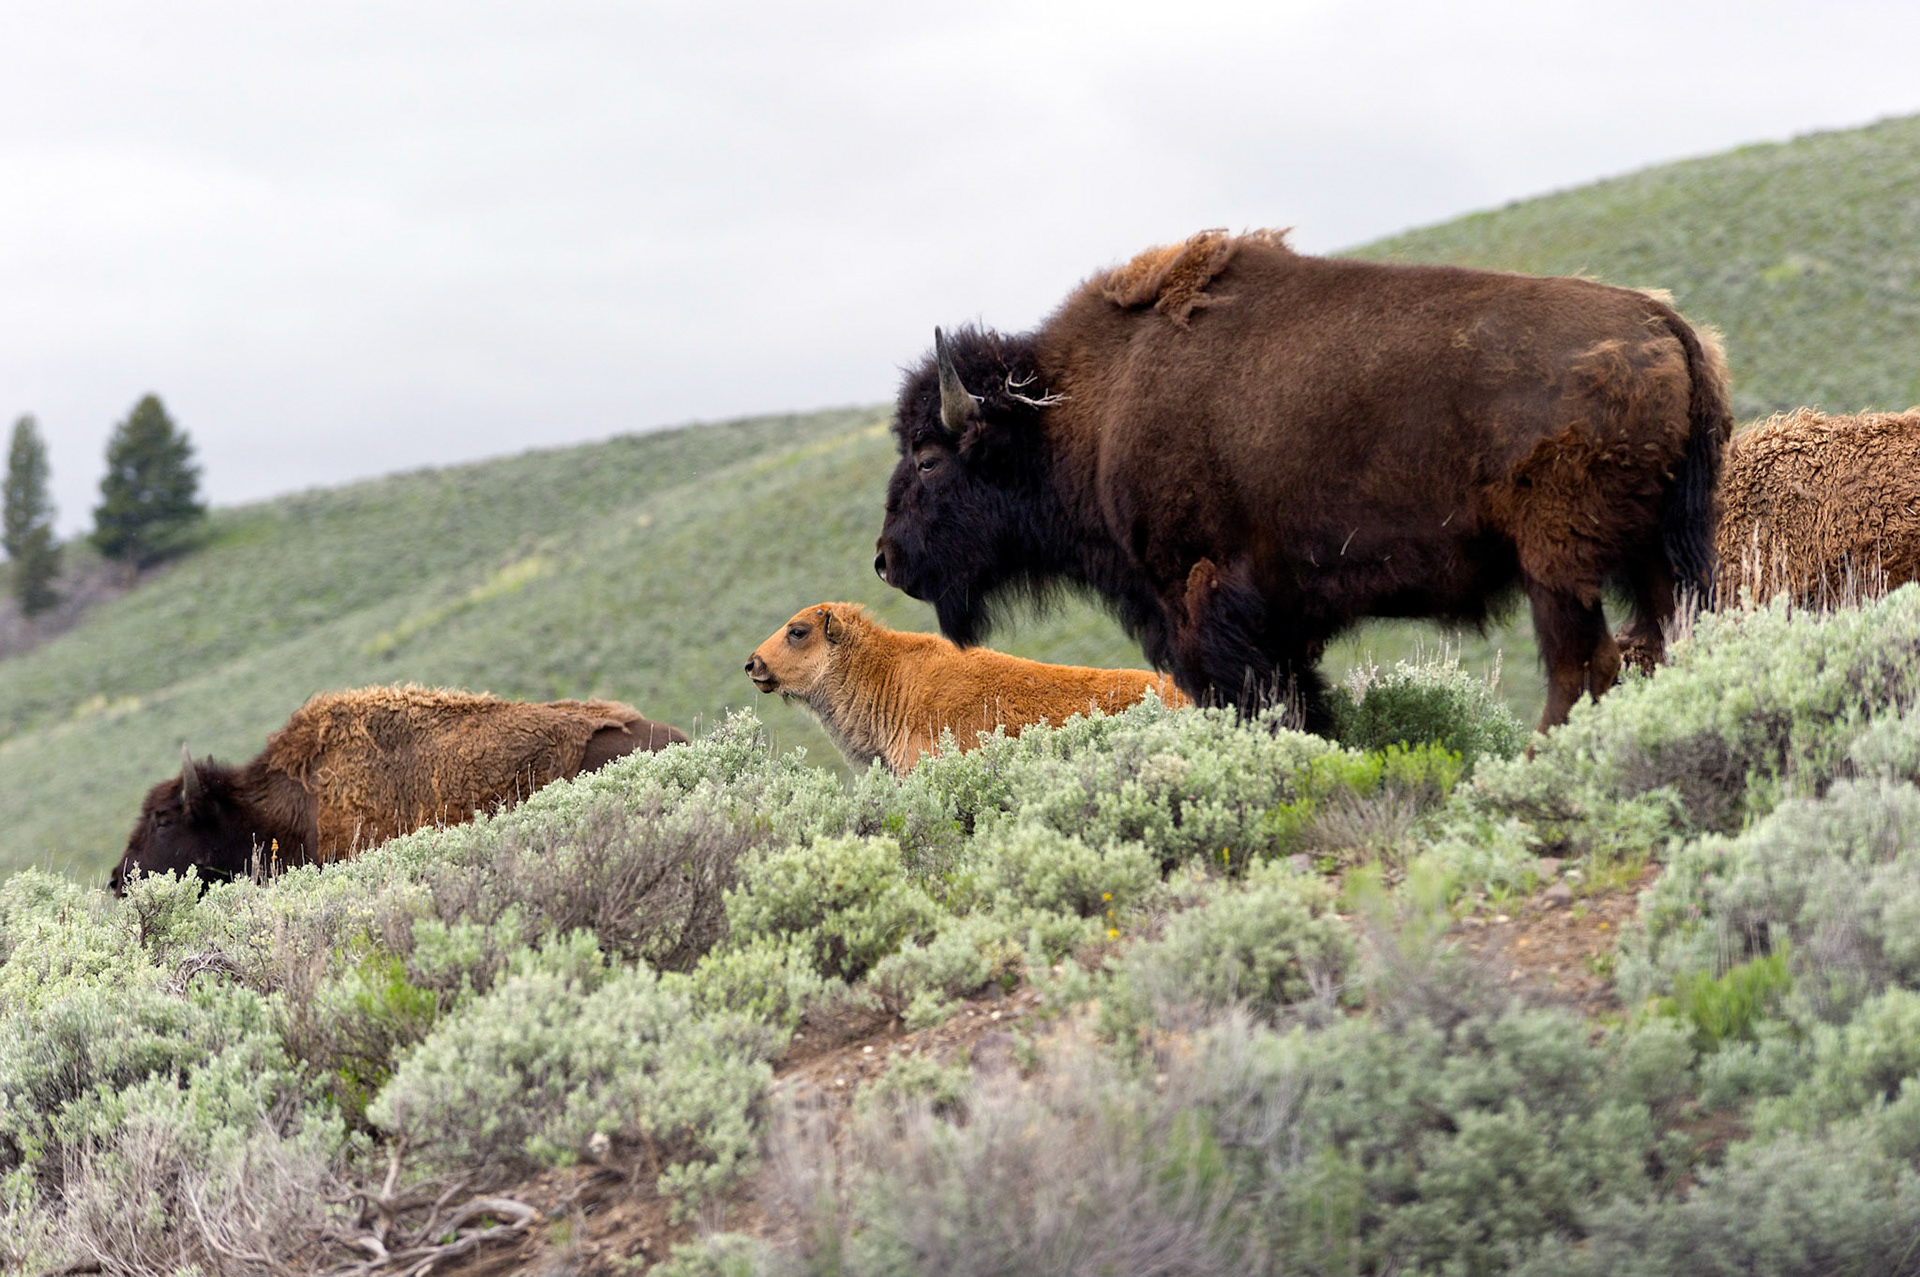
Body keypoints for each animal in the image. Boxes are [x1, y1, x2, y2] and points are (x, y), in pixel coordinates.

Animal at [872, 229, 1733, 735]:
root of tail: (1667, 325)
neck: (1087, 404)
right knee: (1665, 638)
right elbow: (1305, 704)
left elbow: (1263, 703)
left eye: (928, 456)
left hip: (1559, 564)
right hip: (1659, 551)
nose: (886, 558)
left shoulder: (1203, 602)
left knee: (1580, 665)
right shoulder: (1276, 621)